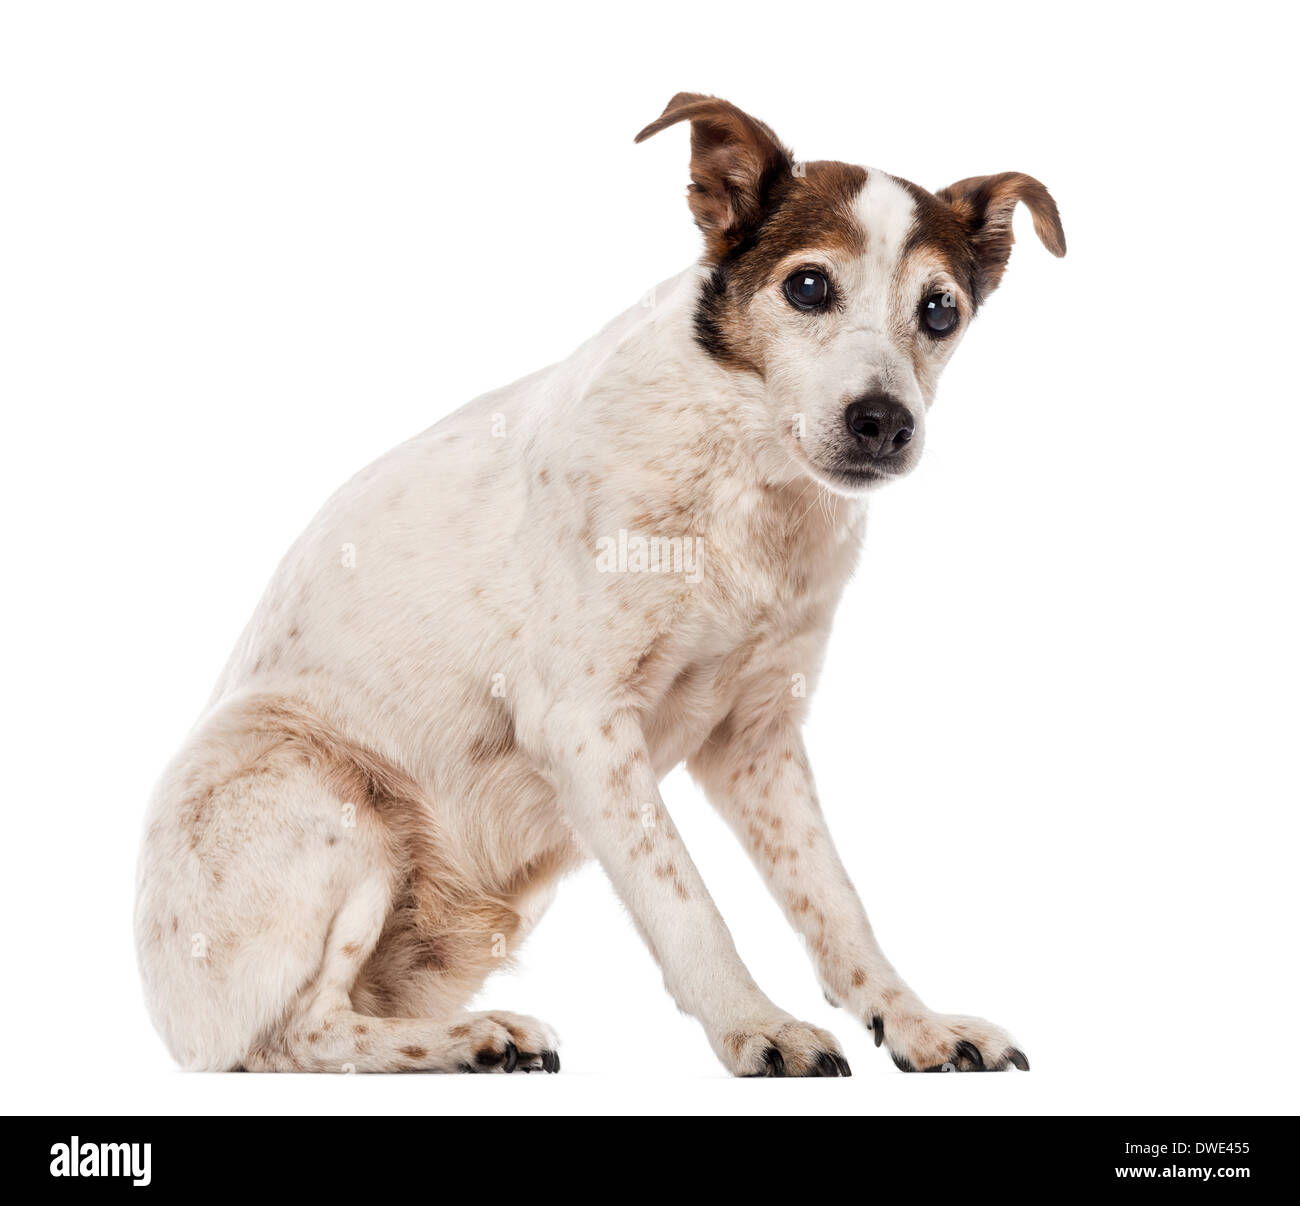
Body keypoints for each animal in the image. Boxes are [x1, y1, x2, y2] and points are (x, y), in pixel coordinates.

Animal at [131, 91, 1066, 1076]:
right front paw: (757, 1026)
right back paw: (475, 1039)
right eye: (809, 287)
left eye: (940, 310)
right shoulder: (584, 726)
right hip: (330, 797)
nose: (884, 422)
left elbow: (837, 904)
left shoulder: (758, 740)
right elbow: (689, 904)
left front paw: (914, 1023)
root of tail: (175, 1030)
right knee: (298, 1033)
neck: (747, 486)